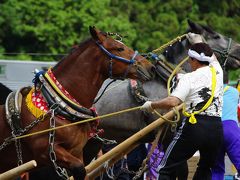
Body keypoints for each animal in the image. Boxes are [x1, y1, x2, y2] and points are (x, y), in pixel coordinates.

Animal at [0, 26, 155, 179]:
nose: (151, 67)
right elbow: (79, 169)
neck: (57, 106)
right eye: (119, 48)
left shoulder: (76, 151)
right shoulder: (45, 151)